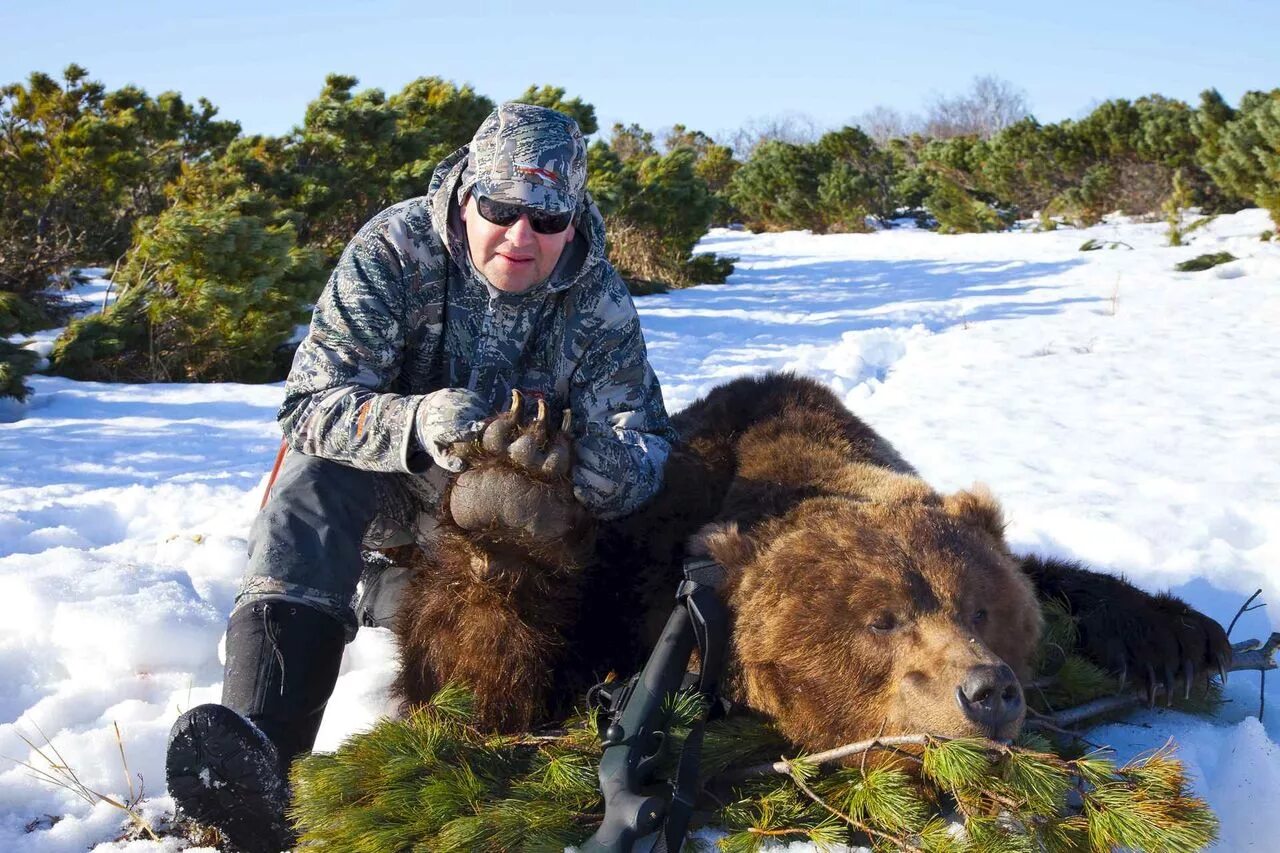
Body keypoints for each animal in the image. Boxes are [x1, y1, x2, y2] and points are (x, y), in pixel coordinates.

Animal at [389, 371, 1228, 742]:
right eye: (880, 619)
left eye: (981, 606)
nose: (987, 691)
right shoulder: (624, 569)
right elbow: (473, 692)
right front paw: (512, 496)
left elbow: (1062, 574)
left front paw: (1176, 638)